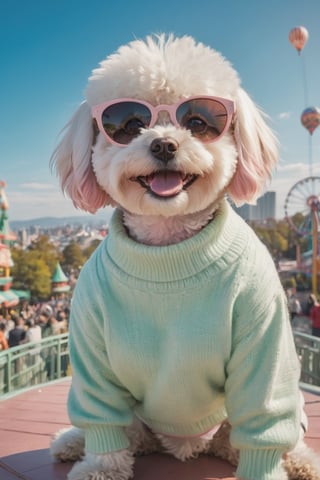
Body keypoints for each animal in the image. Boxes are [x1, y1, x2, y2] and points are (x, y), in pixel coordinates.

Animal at [50, 35, 320, 478]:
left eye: (198, 122)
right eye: (130, 124)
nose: (163, 143)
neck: (169, 250)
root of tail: (187, 447)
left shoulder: (263, 334)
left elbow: (263, 417)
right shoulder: (90, 341)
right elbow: (101, 418)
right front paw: (100, 466)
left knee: (266, 433)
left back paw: (300, 461)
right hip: (136, 414)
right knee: (131, 433)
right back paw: (73, 442)